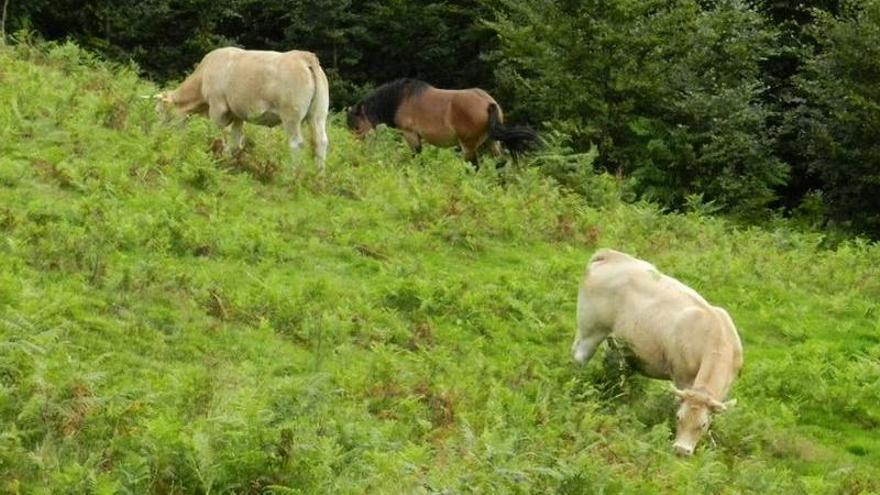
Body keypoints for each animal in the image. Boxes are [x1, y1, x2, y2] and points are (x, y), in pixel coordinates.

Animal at [153, 47, 328, 170]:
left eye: (158, 111)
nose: (160, 136)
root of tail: (303, 56)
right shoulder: (237, 114)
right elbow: (235, 141)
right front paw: (230, 161)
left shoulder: (217, 108)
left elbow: (217, 135)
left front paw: (215, 156)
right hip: (318, 116)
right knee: (321, 142)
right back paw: (319, 175)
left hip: (291, 116)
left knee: (296, 143)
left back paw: (292, 174)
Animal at [348, 79, 540, 168]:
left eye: (357, 126)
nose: (355, 152)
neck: (401, 100)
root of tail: (489, 103)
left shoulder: (411, 135)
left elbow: (416, 158)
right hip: (492, 142)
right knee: (500, 162)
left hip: (468, 146)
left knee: (473, 166)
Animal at [572, 250, 744, 456]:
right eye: (678, 418)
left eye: (702, 425)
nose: (681, 450)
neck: (716, 335)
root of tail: (610, 255)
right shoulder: (681, 378)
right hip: (590, 331)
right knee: (579, 357)